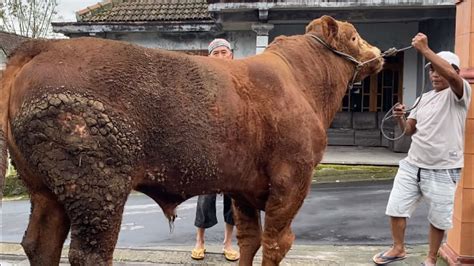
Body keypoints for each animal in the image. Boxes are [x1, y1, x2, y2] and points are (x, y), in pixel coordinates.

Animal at [0, 15, 384, 264]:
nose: (379, 54)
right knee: (89, 252)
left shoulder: (242, 186)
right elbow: (277, 242)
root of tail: (42, 48)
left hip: (44, 187)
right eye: (353, 37)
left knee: (40, 243)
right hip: (97, 185)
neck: (304, 82)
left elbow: (249, 238)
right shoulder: (293, 177)